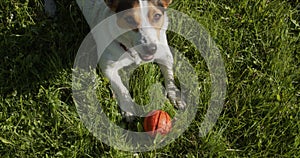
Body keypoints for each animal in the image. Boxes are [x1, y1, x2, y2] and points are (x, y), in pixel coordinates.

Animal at [44, 0, 185, 121]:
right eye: (129, 19)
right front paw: (128, 108)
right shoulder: (108, 67)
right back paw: (50, 8)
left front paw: (175, 95)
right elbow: (121, 88)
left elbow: (169, 76)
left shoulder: (165, 54)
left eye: (157, 16)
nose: (150, 49)